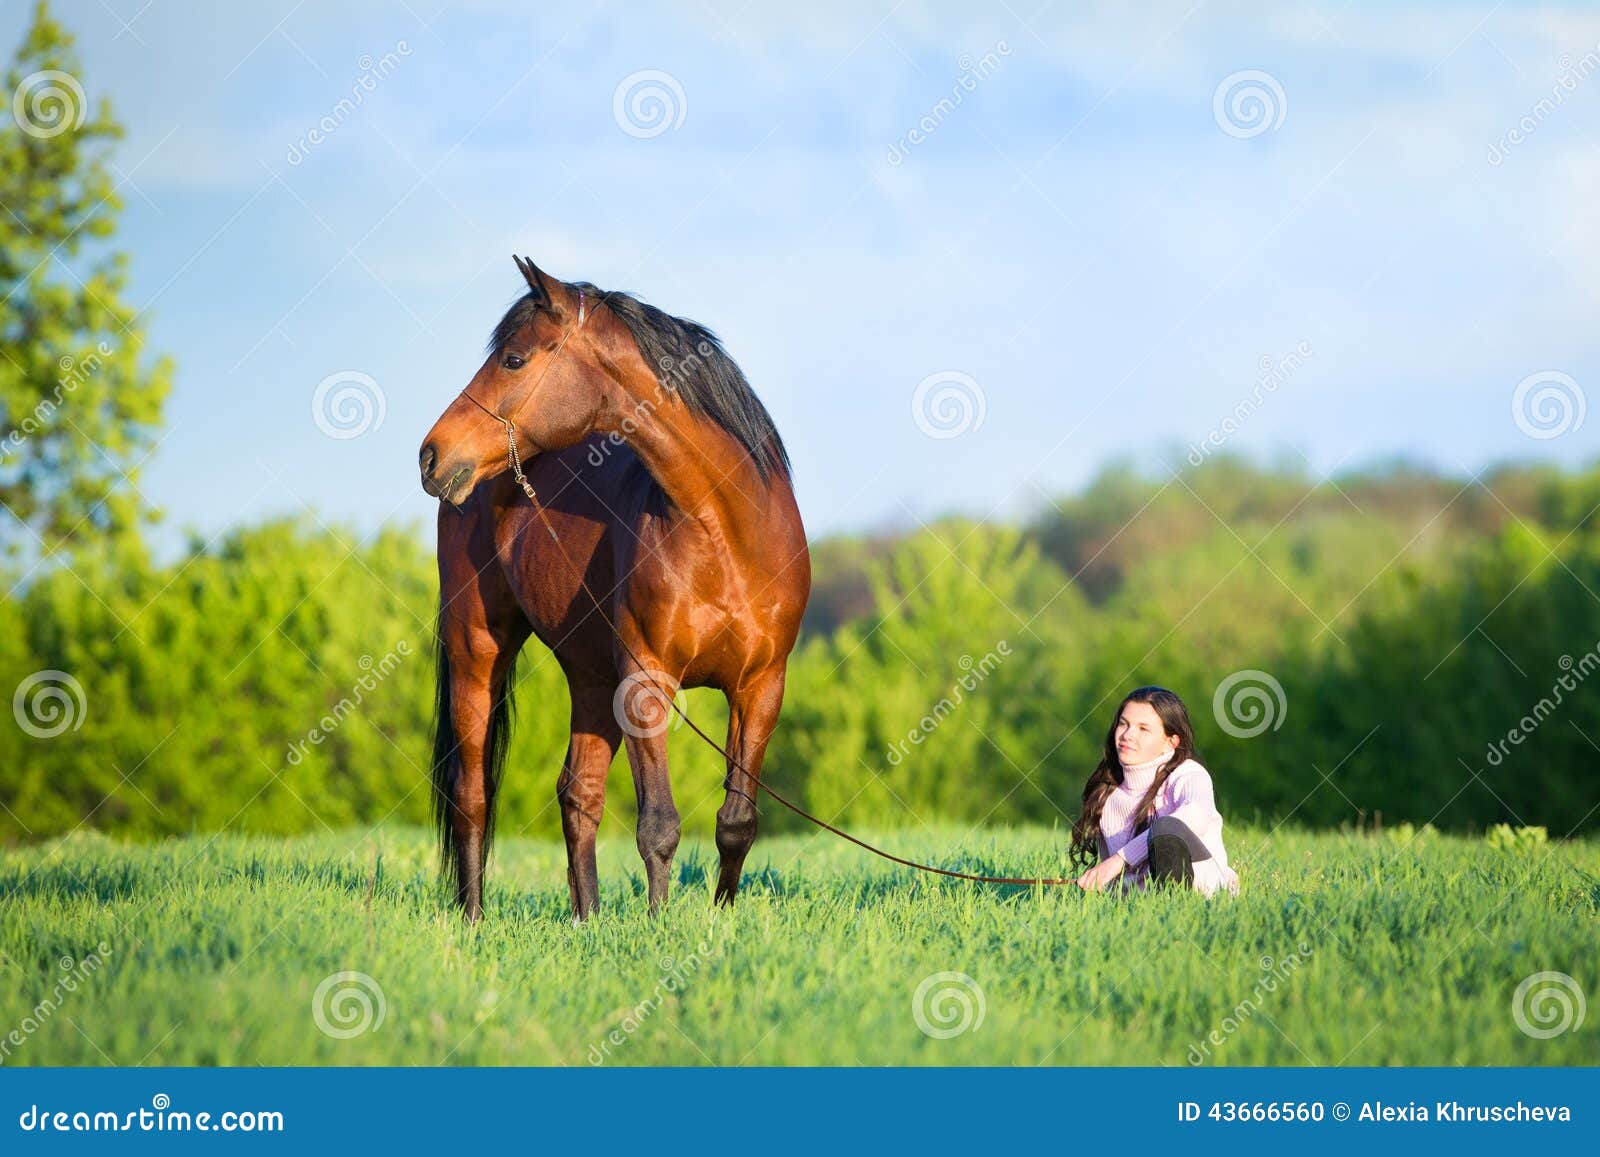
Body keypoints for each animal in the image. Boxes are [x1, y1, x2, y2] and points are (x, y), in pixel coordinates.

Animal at [416, 260, 806, 921]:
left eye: (514, 360)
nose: (430, 455)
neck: (726, 533)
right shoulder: (646, 682)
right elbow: (659, 825)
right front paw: (659, 926)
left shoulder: (761, 687)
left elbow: (737, 822)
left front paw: (720, 919)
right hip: (477, 649)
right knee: (472, 794)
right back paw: (473, 920)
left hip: (591, 676)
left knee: (579, 794)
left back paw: (587, 918)